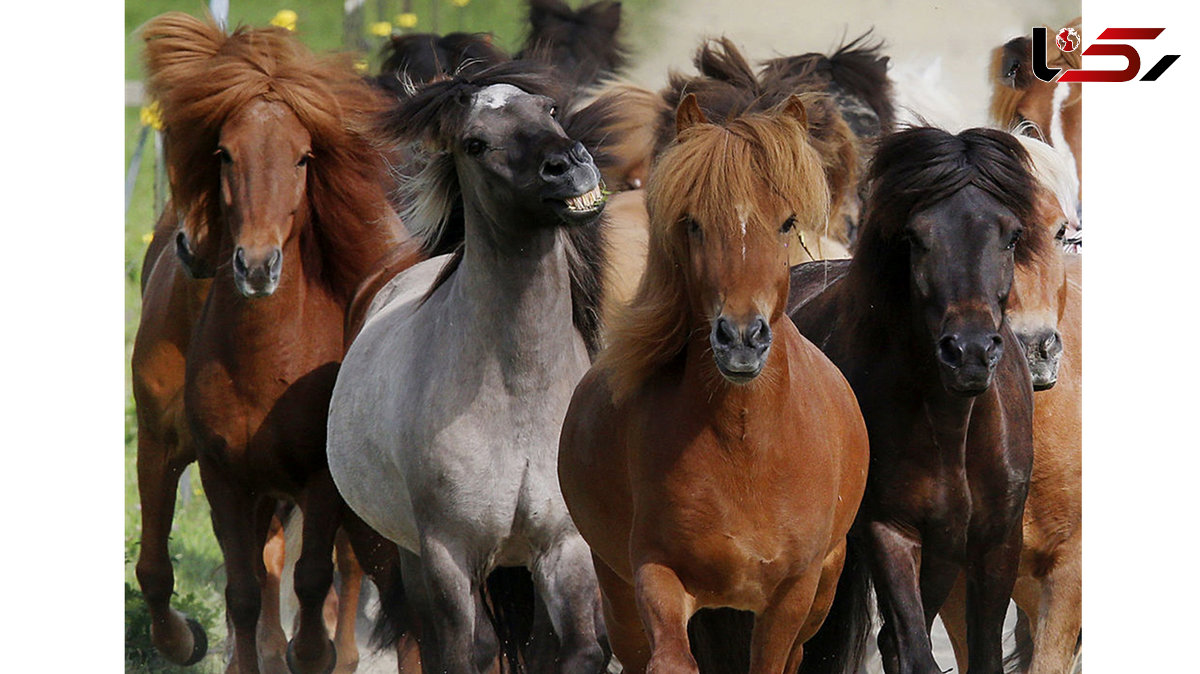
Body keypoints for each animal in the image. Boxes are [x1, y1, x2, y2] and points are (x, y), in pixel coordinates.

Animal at [140, 13, 420, 666]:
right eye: (222, 154)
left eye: (301, 159)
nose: (256, 264)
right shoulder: (205, 465)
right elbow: (211, 583)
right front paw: (194, 642)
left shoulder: (319, 479)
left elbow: (314, 580)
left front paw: (313, 653)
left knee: (348, 571)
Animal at [326, 61, 609, 666]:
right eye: (475, 143)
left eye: (550, 109)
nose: (569, 165)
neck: (518, 395)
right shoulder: (449, 554)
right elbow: (466, 652)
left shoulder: (564, 545)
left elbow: (578, 651)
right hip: (414, 557)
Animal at [556, 94, 868, 671]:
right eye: (693, 224)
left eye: (787, 223)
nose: (741, 337)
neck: (743, 445)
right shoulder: (655, 573)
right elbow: (672, 659)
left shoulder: (791, 596)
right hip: (617, 591)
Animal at [782, 127, 1046, 671]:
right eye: (915, 237)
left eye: (1011, 236)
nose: (969, 352)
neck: (954, 428)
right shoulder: (889, 531)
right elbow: (914, 649)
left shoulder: (995, 540)